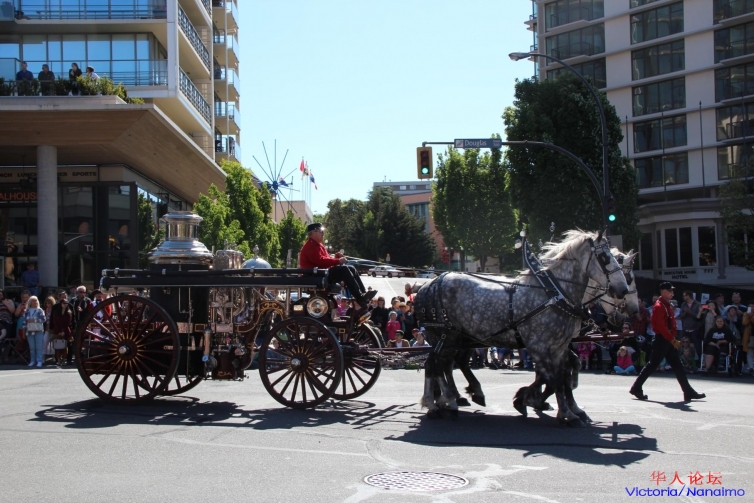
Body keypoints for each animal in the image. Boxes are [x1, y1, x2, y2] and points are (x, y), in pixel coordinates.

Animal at [414, 230, 630, 426]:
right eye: (605, 258)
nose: (623, 290)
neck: (554, 294)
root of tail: (428, 285)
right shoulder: (538, 346)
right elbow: (554, 379)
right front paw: (559, 411)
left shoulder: (559, 347)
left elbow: (562, 375)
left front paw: (560, 406)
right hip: (445, 336)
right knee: (435, 364)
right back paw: (439, 403)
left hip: (457, 339)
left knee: (443, 364)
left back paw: (450, 399)